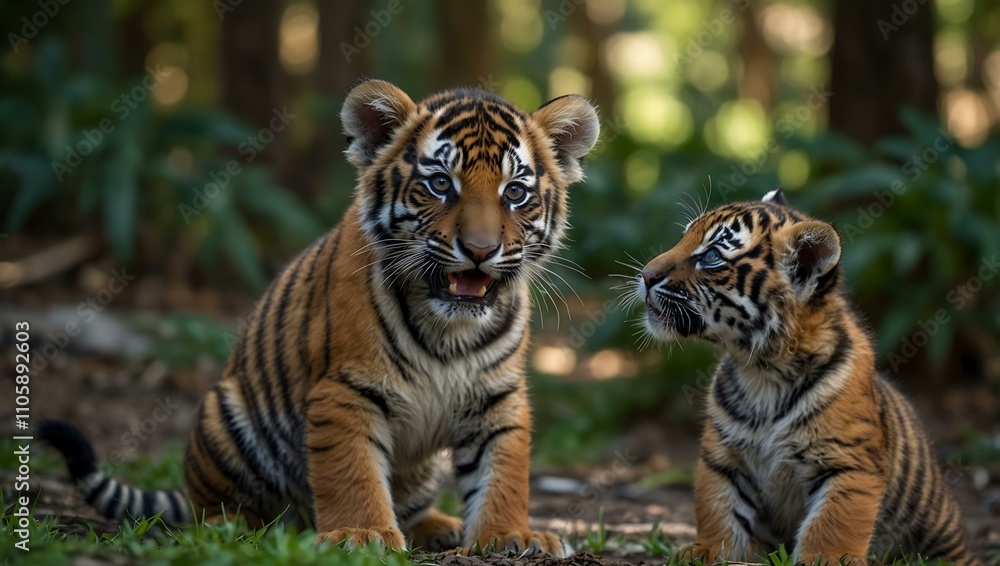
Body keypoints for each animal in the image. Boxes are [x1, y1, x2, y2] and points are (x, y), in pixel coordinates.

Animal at [40, 79, 599, 557]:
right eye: (441, 184)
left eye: (515, 193)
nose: (481, 250)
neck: (450, 327)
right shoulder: (345, 390)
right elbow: (352, 473)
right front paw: (361, 535)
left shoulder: (497, 397)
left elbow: (502, 473)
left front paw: (510, 535)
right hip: (225, 417)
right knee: (216, 509)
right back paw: (233, 527)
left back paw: (438, 527)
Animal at [631, 189, 981, 565]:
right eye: (683, 237)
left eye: (711, 257)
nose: (646, 275)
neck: (762, 370)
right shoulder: (723, 456)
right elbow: (717, 507)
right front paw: (706, 550)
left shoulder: (848, 463)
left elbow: (833, 523)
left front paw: (825, 559)